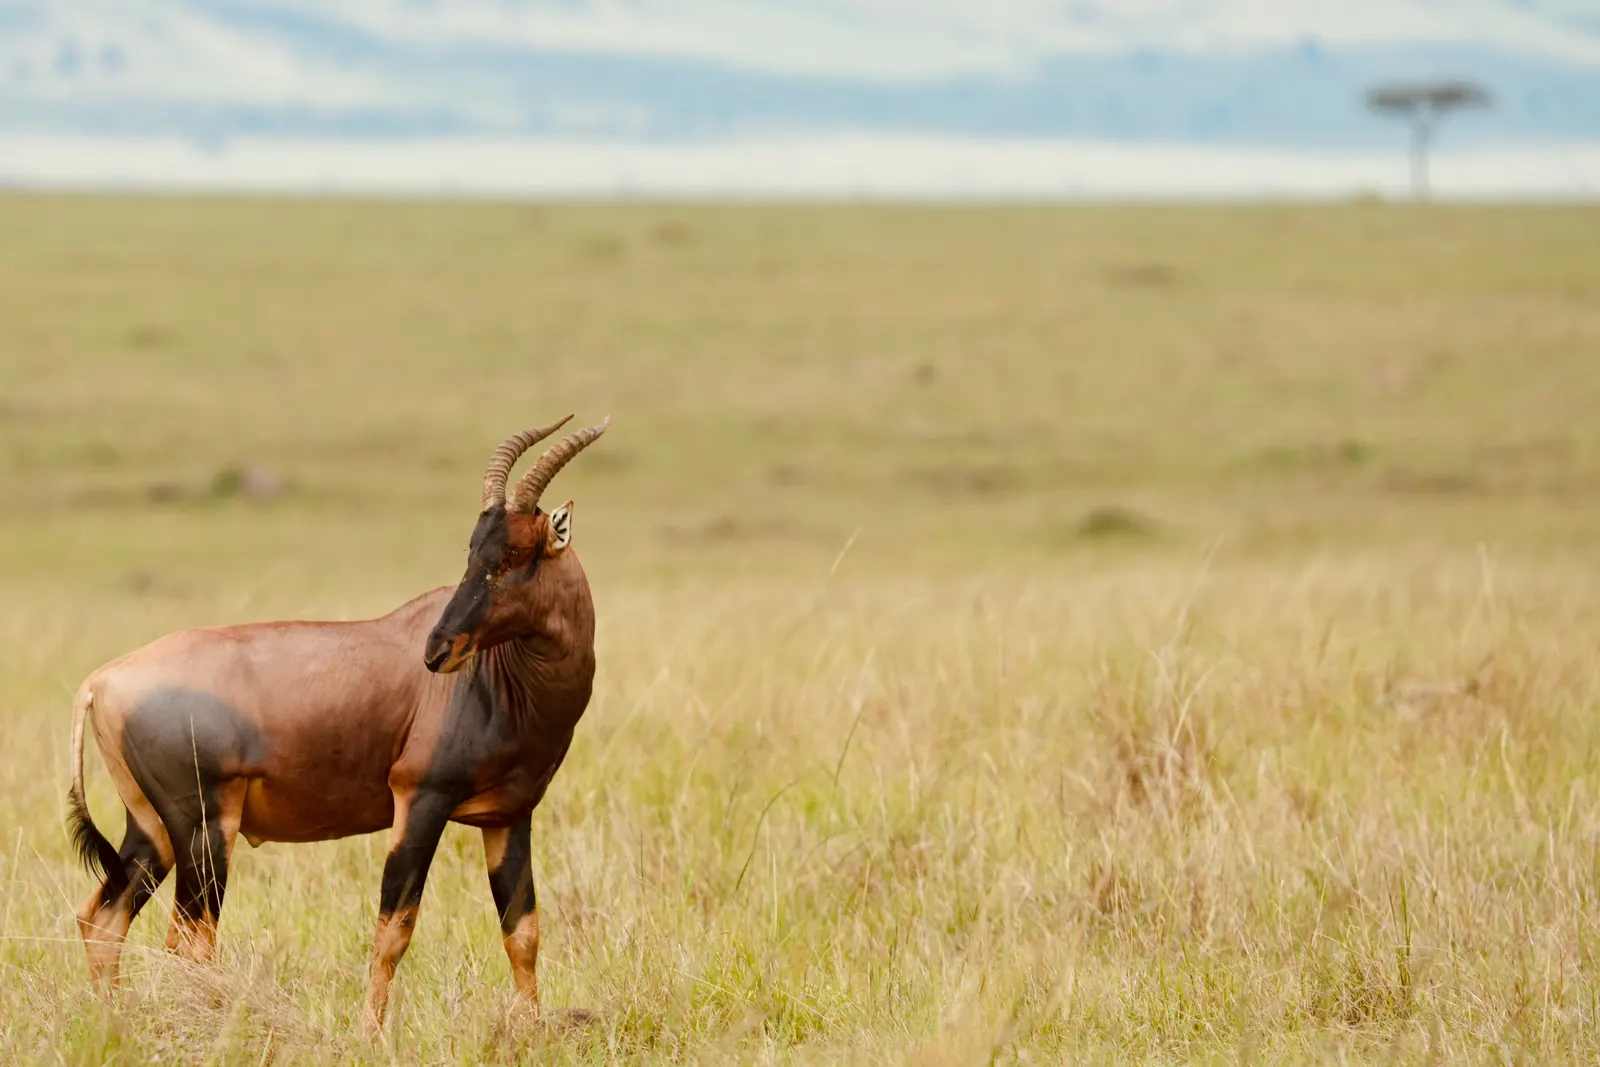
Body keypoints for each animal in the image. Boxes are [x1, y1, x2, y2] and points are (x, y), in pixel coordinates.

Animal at [67, 415, 608, 1031]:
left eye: (513, 554)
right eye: (473, 552)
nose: (437, 651)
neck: (502, 678)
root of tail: (102, 680)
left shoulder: (510, 816)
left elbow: (523, 933)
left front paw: (534, 1030)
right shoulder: (420, 800)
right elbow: (394, 930)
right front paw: (370, 1032)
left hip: (151, 830)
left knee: (104, 918)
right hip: (204, 828)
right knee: (188, 940)